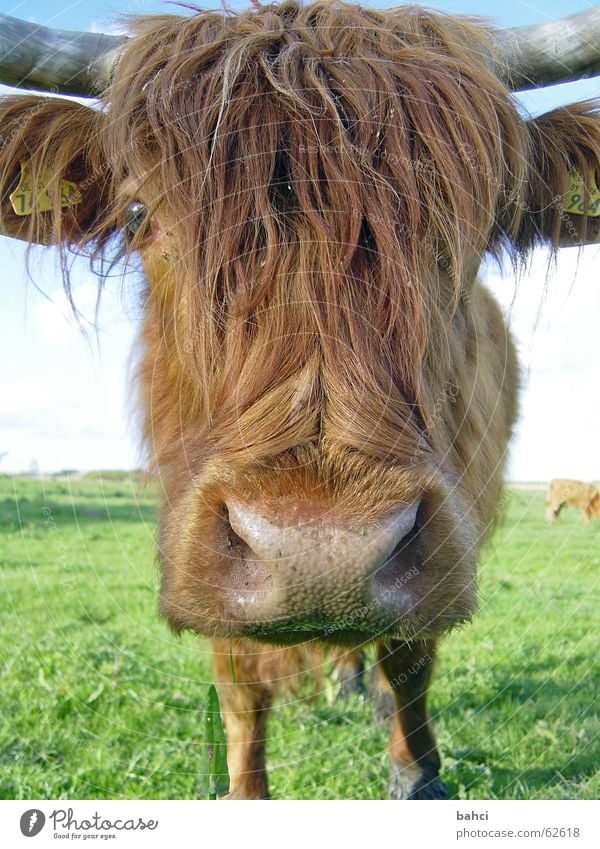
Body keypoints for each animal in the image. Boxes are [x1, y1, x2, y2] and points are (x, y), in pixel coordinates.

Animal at [1, 0, 600, 800]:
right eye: (135, 214)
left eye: (476, 226)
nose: (321, 555)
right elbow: (237, 689)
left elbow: (410, 659)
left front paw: (415, 772)